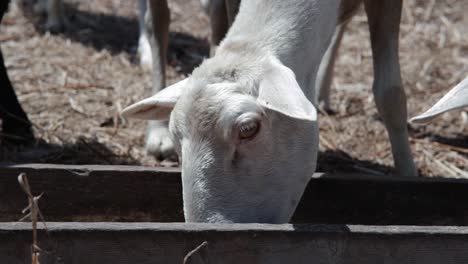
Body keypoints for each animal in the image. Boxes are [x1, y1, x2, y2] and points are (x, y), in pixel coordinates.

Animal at [123, 0, 416, 223]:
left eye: (248, 129)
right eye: (177, 137)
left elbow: (390, 94)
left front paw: (408, 176)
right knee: (158, 24)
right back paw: (155, 133)